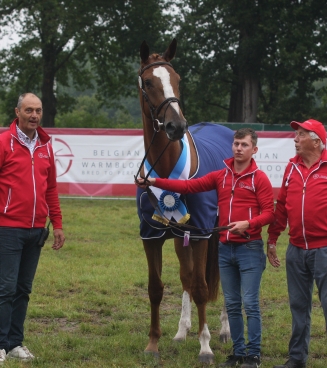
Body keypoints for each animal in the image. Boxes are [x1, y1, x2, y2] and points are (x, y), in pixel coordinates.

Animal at [136, 38, 233, 364]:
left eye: (177, 79)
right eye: (148, 82)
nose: (175, 126)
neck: (167, 173)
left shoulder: (202, 232)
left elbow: (203, 287)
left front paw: (205, 347)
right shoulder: (151, 236)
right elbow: (157, 288)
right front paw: (153, 344)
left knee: (223, 275)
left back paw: (225, 330)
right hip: (182, 237)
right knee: (187, 276)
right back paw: (182, 331)